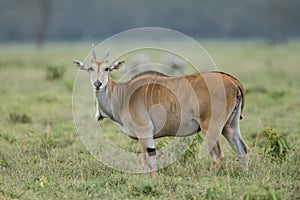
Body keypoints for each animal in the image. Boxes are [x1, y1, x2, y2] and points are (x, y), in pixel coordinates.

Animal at [72, 45, 248, 177]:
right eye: (90, 69)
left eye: (107, 69)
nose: (98, 84)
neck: (123, 94)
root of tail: (233, 81)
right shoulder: (142, 137)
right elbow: (145, 161)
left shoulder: (145, 133)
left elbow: (150, 161)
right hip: (230, 127)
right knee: (243, 150)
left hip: (211, 127)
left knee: (217, 156)